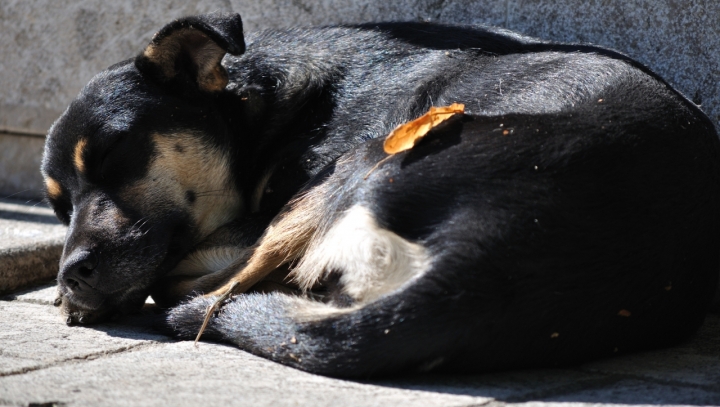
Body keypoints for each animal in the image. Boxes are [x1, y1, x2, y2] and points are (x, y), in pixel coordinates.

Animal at [42, 12, 720, 380]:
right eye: (57, 206)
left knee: (211, 295)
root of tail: (484, 263)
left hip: (363, 161)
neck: (260, 110)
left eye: (114, 154)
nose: (70, 276)